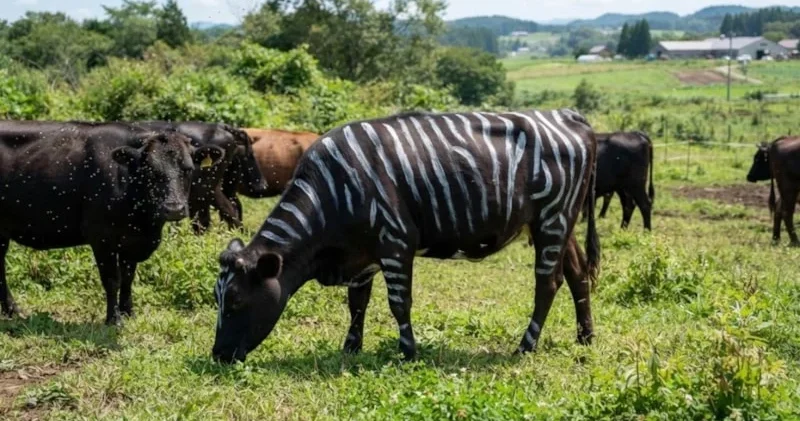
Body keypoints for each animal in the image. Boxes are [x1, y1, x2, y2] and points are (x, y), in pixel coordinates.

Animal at [210, 109, 600, 363]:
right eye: (217, 300)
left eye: (236, 302)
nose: (218, 356)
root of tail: (568, 114)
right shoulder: (361, 253)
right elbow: (357, 303)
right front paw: (350, 349)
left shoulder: (395, 242)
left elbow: (398, 302)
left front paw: (408, 352)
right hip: (559, 222)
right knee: (578, 274)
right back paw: (585, 337)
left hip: (552, 218)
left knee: (548, 283)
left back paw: (526, 346)